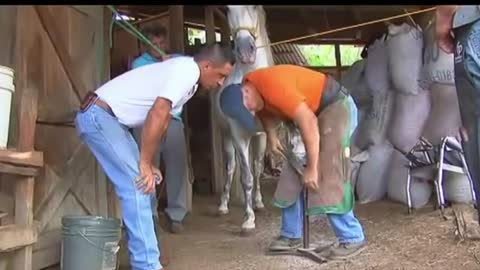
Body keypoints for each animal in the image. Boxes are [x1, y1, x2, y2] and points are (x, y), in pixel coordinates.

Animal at [214, 5, 274, 235]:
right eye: (228, 9)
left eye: (255, 7)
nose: (246, 52)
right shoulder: (238, 135)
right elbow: (245, 177)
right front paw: (248, 220)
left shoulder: (264, 134)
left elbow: (256, 170)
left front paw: (256, 205)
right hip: (226, 136)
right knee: (231, 167)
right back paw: (223, 205)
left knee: (255, 166)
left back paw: (257, 202)